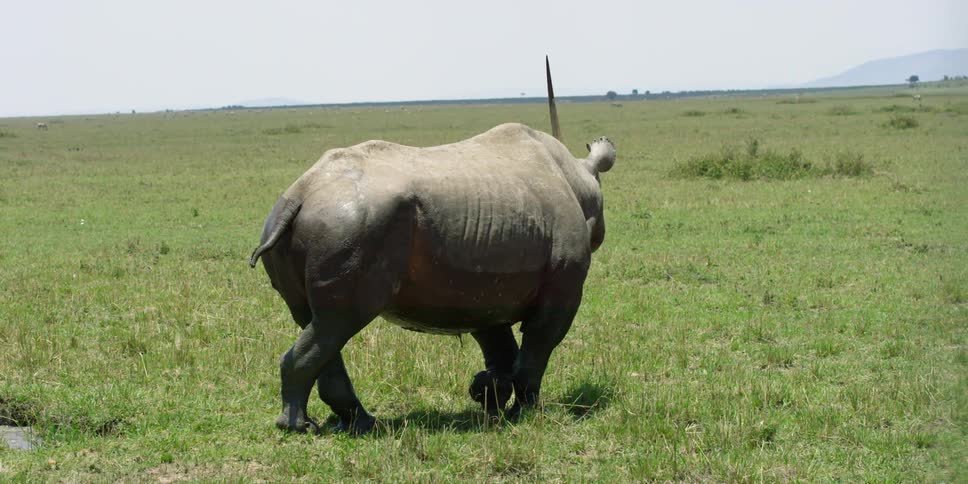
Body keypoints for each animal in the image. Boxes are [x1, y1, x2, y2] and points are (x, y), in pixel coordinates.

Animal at [249, 59, 616, 434]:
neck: (580, 180)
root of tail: (299, 194)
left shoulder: (483, 289)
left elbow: (501, 347)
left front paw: (489, 395)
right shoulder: (562, 285)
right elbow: (539, 345)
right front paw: (521, 411)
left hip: (314, 225)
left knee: (316, 322)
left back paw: (356, 423)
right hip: (352, 228)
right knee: (338, 321)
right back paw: (303, 426)